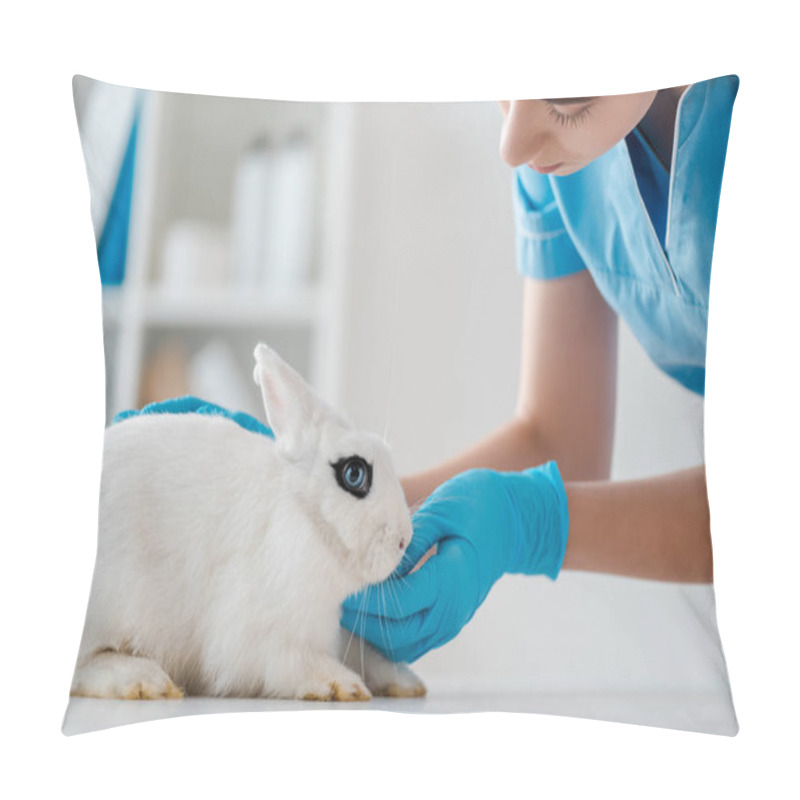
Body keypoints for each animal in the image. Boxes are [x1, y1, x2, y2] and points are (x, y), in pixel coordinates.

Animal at [70, 344, 424, 700]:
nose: (403, 539)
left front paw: (405, 682)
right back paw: (145, 680)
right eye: (354, 473)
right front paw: (343, 684)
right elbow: (296, 663)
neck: (309, 519)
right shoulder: (267, 634)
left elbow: (370, 657)